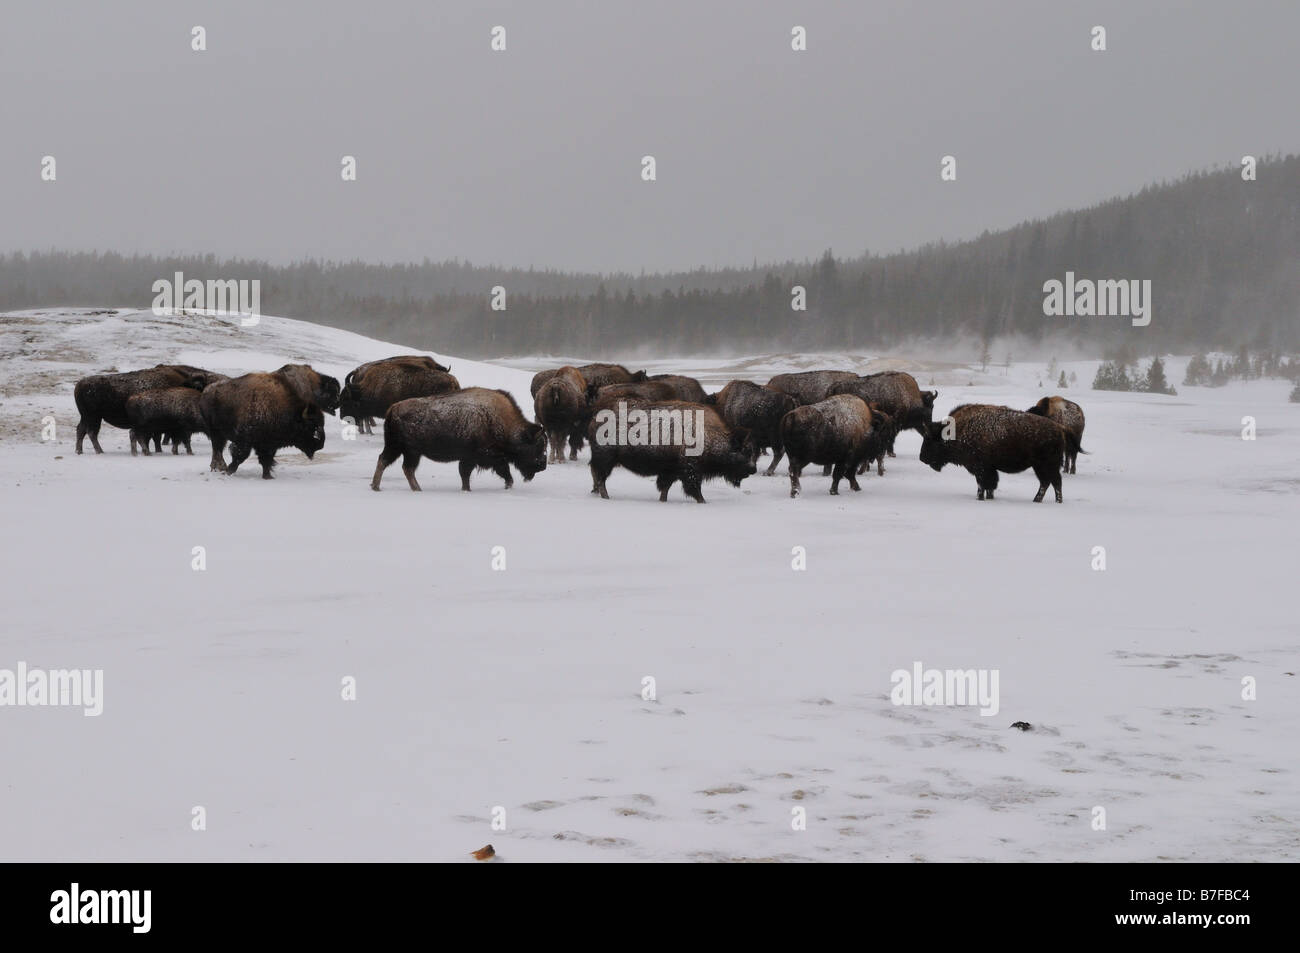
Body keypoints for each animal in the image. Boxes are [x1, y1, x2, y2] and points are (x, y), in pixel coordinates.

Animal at [74, 364, 223, 452]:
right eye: (201, 388)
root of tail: (80, 385)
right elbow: (155, 437)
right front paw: (157, 450)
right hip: (93, 417)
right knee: (91, 432)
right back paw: (99, 451)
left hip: (88, 417)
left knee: (81, 430)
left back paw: (80, 451)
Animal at [200, 369, 330, 478]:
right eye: (311, 425)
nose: (320, 445)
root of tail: (207, 391)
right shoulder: (245, 441)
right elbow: (240, 456)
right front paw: (229, 471)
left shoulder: (268, 445)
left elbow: (266, 461)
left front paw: (268, 477)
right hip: (217, 433)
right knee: (217, 449)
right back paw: (219, 468)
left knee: (217, 450)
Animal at [371, 387, 548, 491]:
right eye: (538, 446)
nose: (542, 466)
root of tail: (393, 408)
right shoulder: (483, 457)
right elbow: (498, 470)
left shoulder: (471, 458)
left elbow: (466, 474)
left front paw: (466, 489)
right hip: (409, 451)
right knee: (404, 467)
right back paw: (414, 489)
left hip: (399, 448)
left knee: (387, 461)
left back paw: (377, 486)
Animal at [587, 397, 759, 501]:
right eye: (744, 451)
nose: (753, 469)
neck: (708, 435)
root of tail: (594, 420)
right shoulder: (690, 471)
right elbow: (695, 490)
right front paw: (703, 502)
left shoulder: (671, 471)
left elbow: (665, 488)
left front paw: (663, 501)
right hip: (606, 459)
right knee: (600, 477)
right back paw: (606, 497)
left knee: (597, 475)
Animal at [915, 400, 1066, 501]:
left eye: (930, 439)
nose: (922, 458)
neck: (958, 430)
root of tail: (1059, 430)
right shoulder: (988, 469)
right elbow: (990, 486)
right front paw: (989, 497)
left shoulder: (981, 468)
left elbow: (983, 484)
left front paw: (980, 498)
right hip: (1041, 466)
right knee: (1049, 482)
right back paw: (1040, 500)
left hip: (1045, 465)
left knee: (1052, 482)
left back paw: (1048, 500)